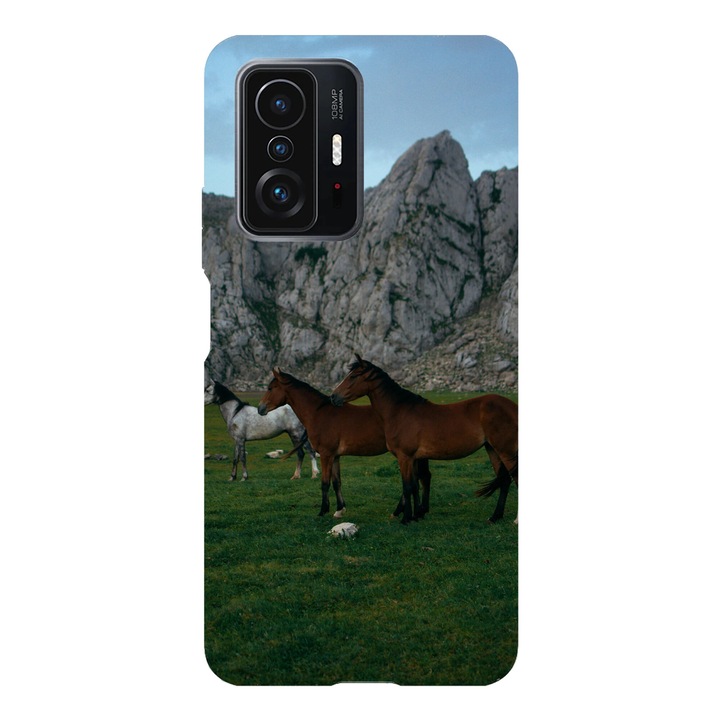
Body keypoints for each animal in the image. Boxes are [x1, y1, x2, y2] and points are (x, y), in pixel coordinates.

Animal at [258, 368, 431, 518]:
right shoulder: (335, 456)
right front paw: (340, 510)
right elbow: (337, 482)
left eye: (270, 388)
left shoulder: (326, 454)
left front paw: (323, 510)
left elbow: (325, 483)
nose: (260, 409)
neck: (319, 413)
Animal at [330, 355, 518, 525]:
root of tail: (513, 406)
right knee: (505, 480)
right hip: (492, 450)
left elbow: (407, 486)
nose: (333, 396)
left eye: (353, 376)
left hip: (506, 451)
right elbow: (415, 485)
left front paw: (406, 518)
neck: (399, 412)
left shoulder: (404, 457)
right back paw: (495, 517)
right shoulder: (414, 458)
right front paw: (416, 515)